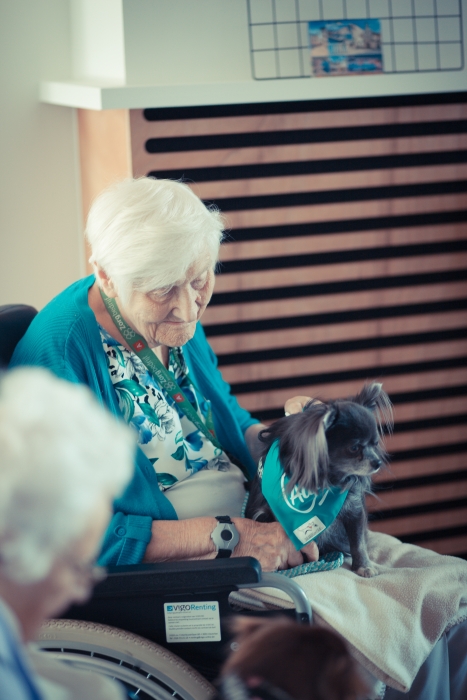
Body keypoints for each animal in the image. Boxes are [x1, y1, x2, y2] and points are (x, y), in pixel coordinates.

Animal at [247, 382, 394, 576]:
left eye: (375, 444)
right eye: (354, 448)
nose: (377, 462)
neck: (328, 480)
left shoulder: (354, 510)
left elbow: (358, 542)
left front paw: (363, 565)